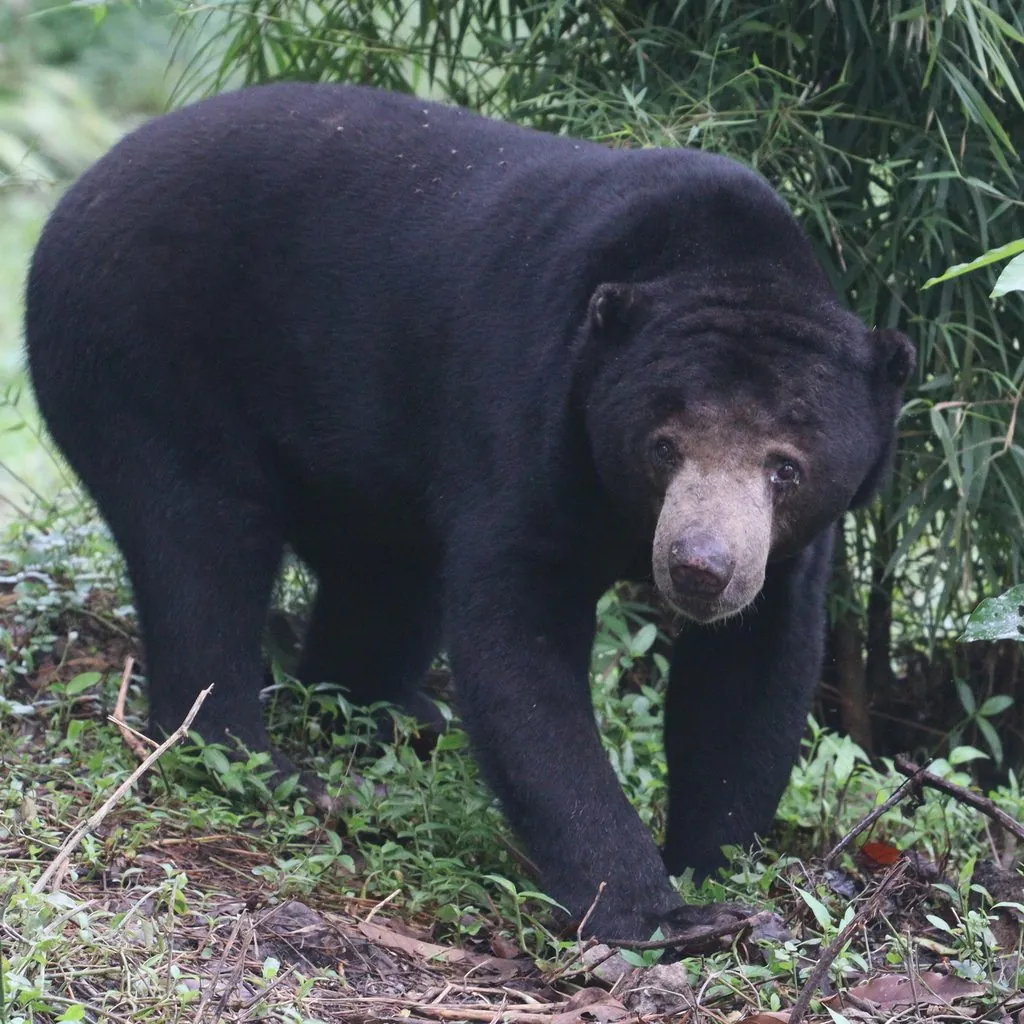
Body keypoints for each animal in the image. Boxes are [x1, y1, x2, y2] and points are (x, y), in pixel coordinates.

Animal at [24, 82, 914, 943]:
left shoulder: (785, 553)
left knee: (378, 578)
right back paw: (258, 760)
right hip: (146, 354)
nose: (700, 568)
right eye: (663, 447)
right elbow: (518, 638)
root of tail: (78, 194)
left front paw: (715, 869)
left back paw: (390, 715)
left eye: (785, 468)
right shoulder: (531, 408)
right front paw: (655, 912)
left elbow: (751, 668)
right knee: (203, 543)